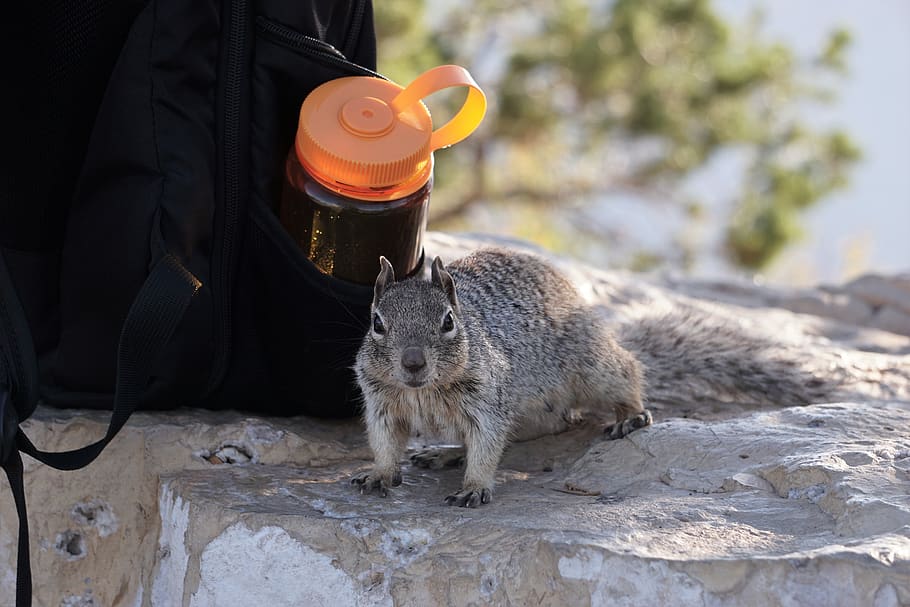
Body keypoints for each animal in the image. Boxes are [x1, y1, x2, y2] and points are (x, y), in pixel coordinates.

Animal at [352, 247, 829, 507]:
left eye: (449, 322)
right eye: (376, 323)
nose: (413, 363)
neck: (424, 391)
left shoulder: (488, 401)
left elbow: (487, 448)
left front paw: (474, 487)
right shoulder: (380, 403)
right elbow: (385, 443)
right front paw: (379, 473)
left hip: (594, 368)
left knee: (629, 375)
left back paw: (631, 416)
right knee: (533, 429)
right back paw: (446, 453)